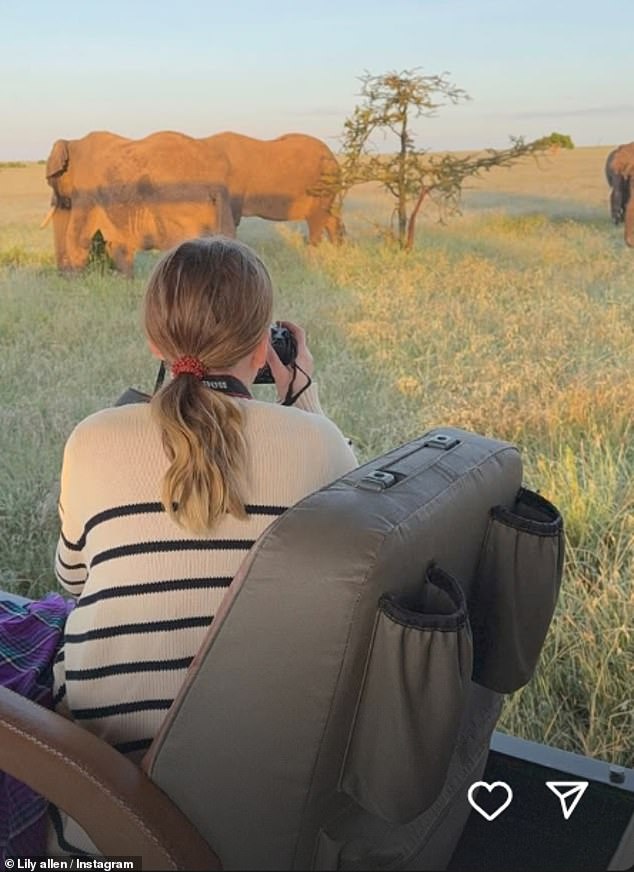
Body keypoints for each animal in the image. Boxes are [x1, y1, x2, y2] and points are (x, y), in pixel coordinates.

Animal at [43, 127, 233, 272]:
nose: (62, 276)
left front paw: (75, 278)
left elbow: (77, 237)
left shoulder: (86, 189)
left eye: (51, 181)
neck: (72, 142)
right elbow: (116, 241)